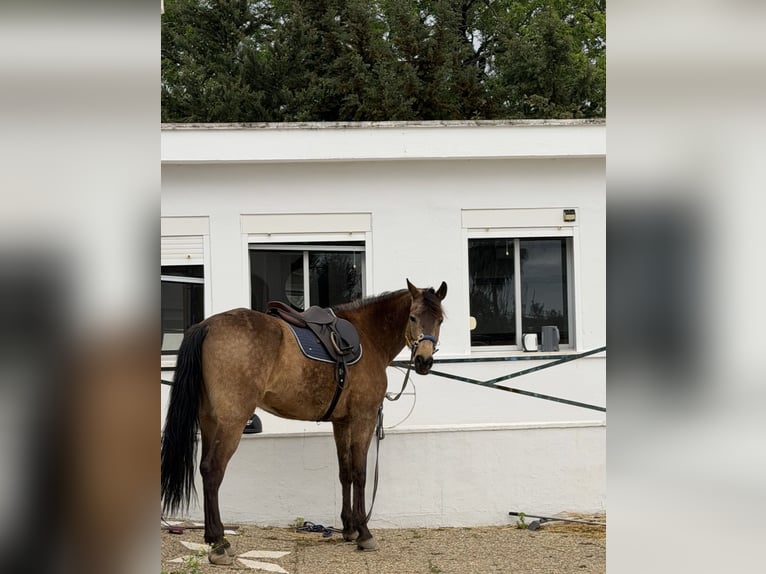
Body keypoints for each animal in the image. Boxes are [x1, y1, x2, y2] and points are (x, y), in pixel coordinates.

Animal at [161, 279, 447, 565]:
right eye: (412, 317)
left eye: (440, 320)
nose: (424, 361)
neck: (369, 336)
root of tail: (207, 325)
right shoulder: (363, 418)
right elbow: (360, 473)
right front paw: (364, 533)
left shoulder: (341, 422)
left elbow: (345, 472)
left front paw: (349, 529)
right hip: (232, 421)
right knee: (213, 471)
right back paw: (220, 544)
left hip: (209, 420)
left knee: (204, 469)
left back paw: (213, 538)